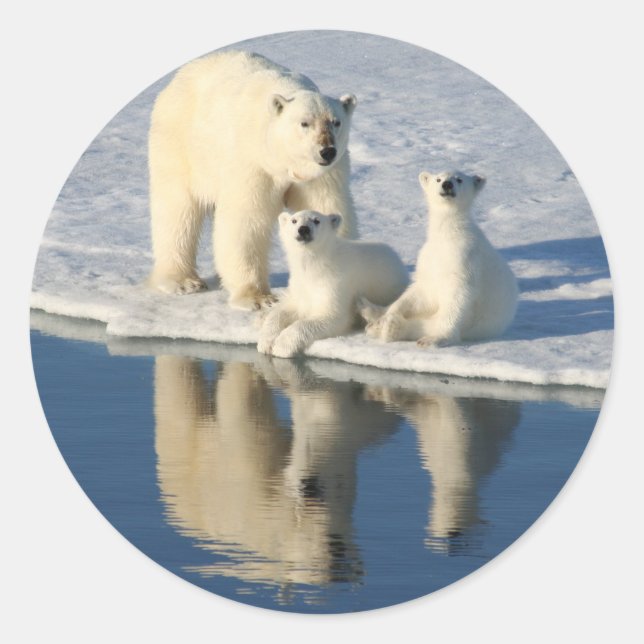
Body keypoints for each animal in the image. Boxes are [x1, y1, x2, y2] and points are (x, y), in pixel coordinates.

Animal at [147, 50, 358, 310]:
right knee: (177, 210)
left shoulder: (323, 175)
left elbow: (328, 207)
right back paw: (183, 281)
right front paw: (258, 298)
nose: (326, 151)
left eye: (336, 122)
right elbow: (246, 220)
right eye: (305, 123)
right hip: (181, 144)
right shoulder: (252, 163)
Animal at [258, 210, 409, 358]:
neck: (316, 266)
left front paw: (281, 346)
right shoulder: (300, 285)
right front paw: (266, 342)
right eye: (294, 220)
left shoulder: (335, 283)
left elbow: (331, 316)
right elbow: (285, 311)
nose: (303, 229)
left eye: (316, 220)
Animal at [360, 170, 518, 346]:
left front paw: (436, 338)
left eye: (459, 179)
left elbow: (457, 297)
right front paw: (386, 316)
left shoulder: (465, 259)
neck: (447, 236)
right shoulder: (429, 259)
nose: (447, 184)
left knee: (426, 324)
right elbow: (421, 292)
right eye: (438, 179)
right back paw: (370, 311)